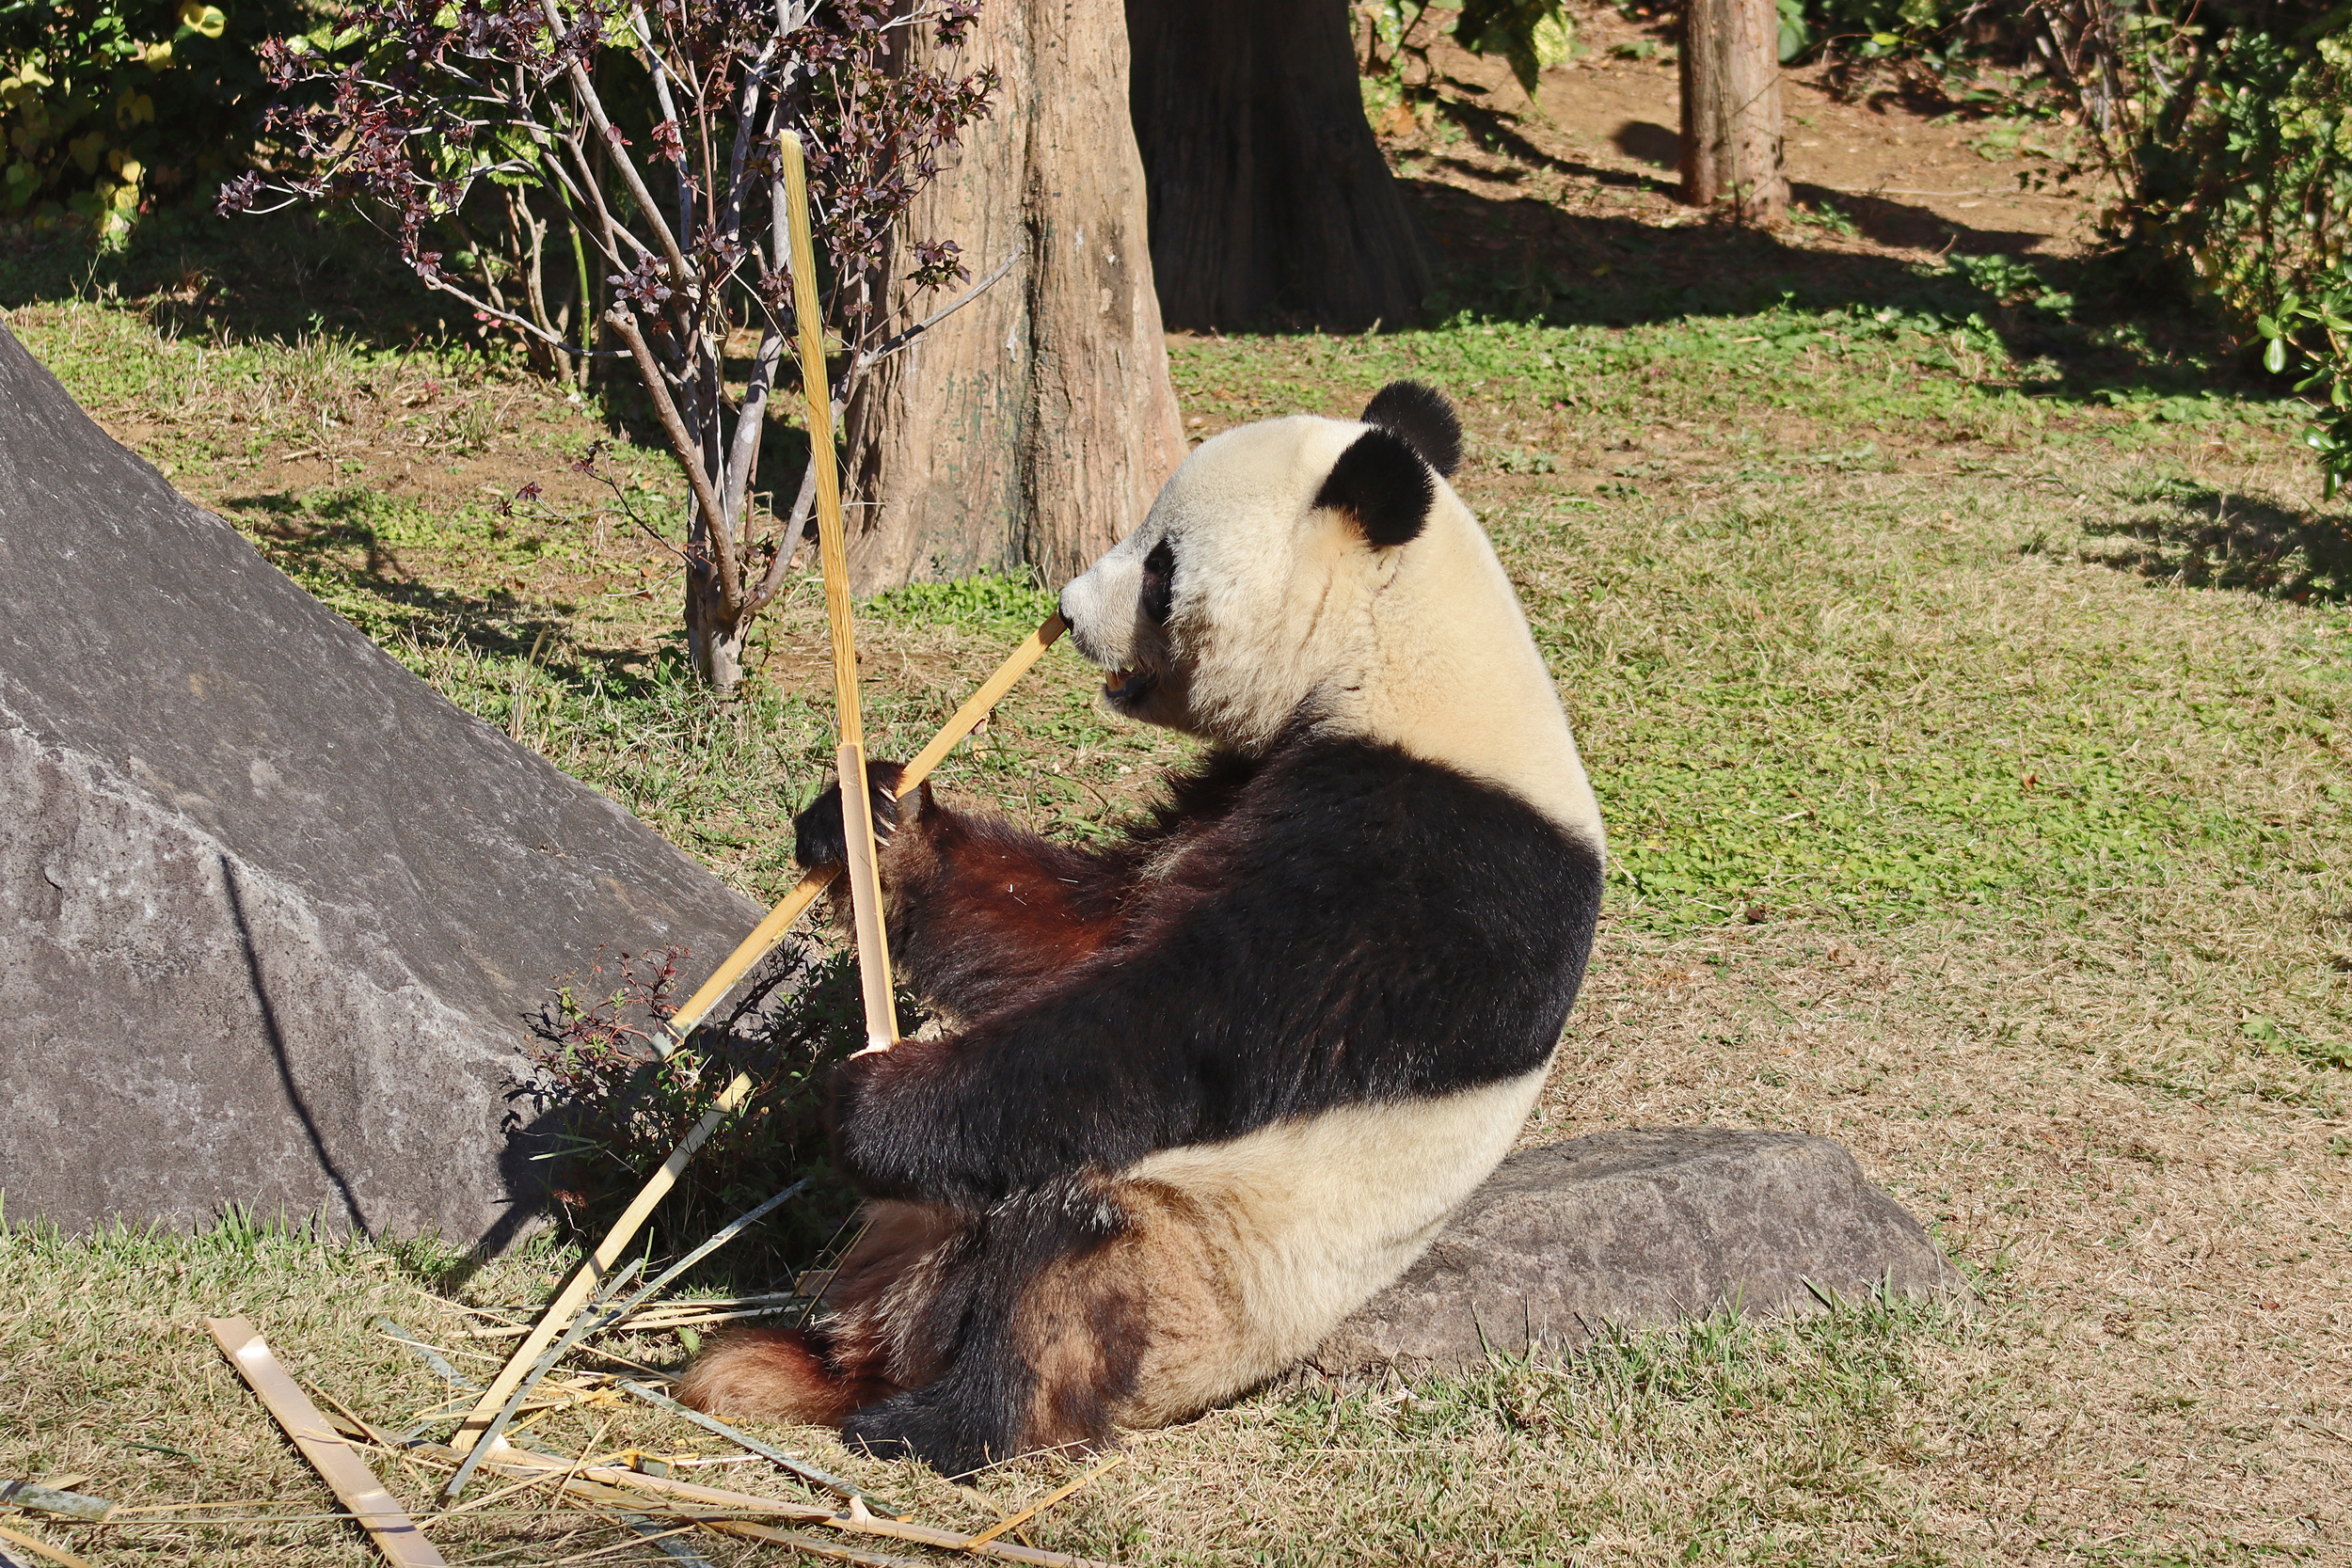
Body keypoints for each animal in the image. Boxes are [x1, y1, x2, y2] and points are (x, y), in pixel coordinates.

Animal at [674, 381, 1606, 1477]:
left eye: (1160, 565)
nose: (1069, 610)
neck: (1398, 647)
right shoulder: (1246, 782)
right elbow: (1081, 930)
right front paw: (879, 822)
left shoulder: (1421, 860)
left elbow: (1178, 1022)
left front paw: (874, 1104)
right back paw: (771, 1361)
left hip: (1201, 1268)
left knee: (1061, 1256)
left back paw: (936, 1420)